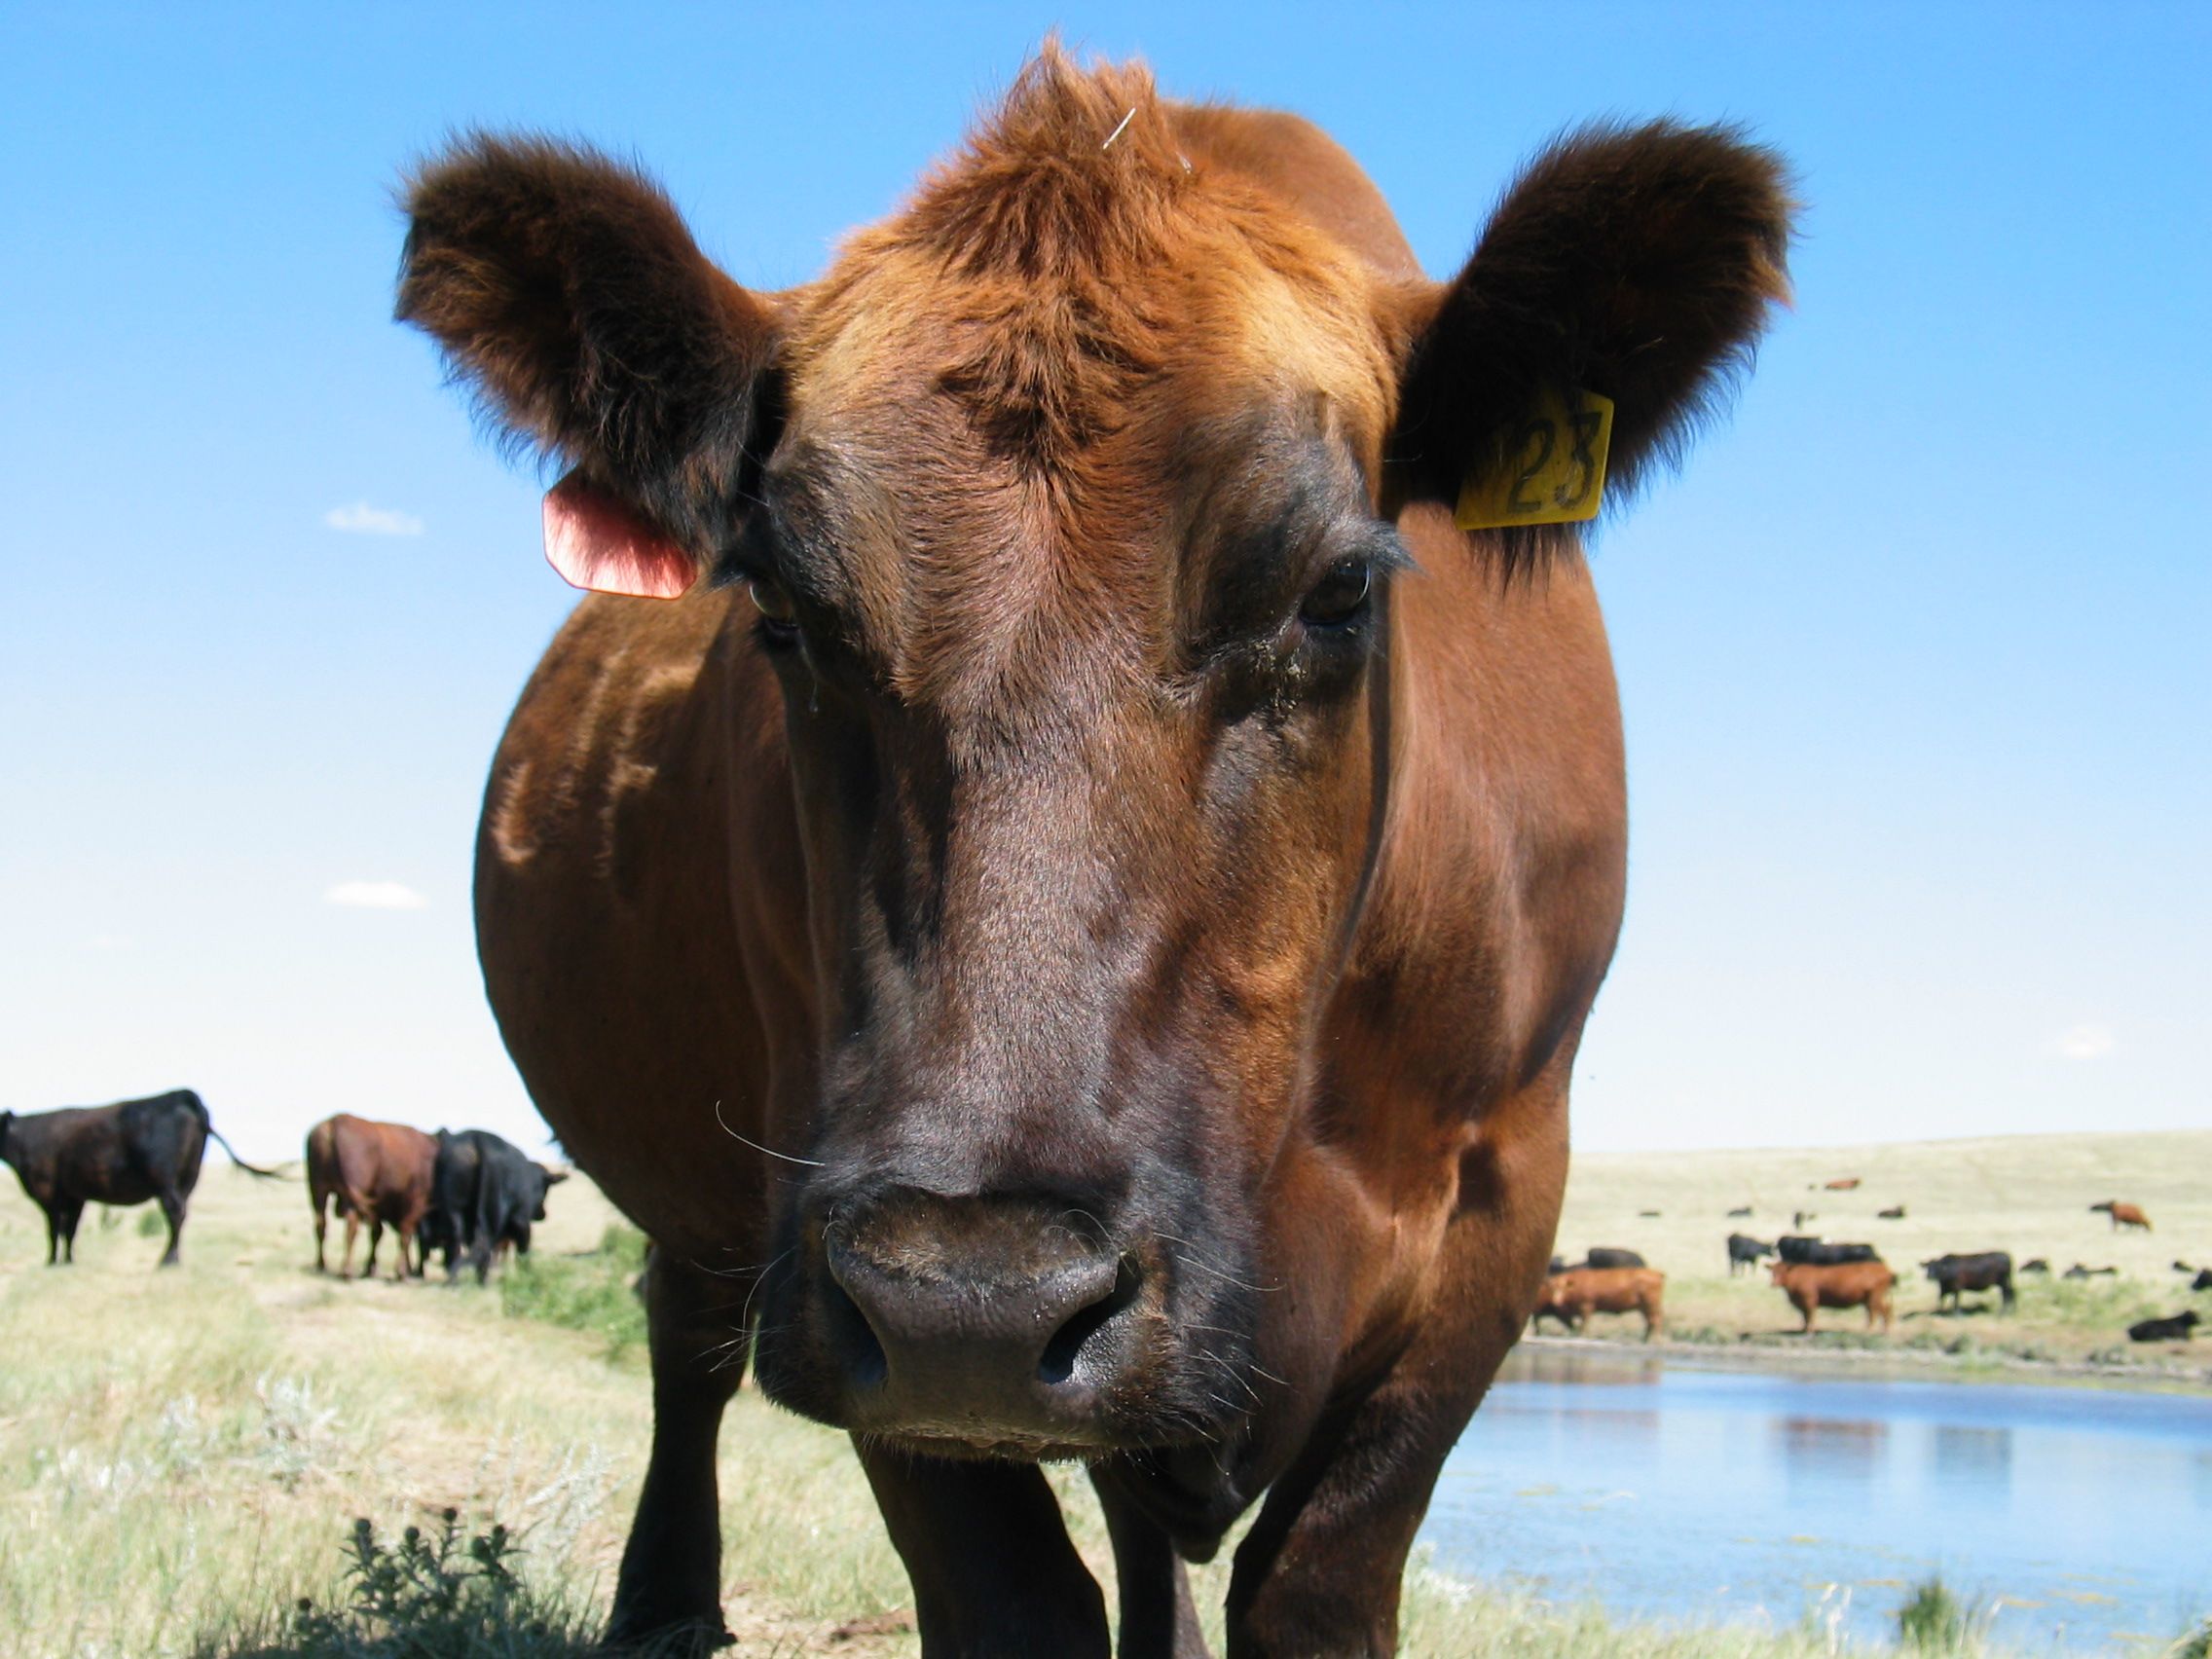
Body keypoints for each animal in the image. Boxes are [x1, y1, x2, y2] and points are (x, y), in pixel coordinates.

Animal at [0, 1089, 277, 1266]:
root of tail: (182, 1095)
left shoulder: (47, 1191)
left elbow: (53, 1229)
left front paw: (50, 1262)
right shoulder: (75, 1195)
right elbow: (70, 1230)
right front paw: (68, 1261)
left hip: (165, 1180)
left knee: (175, 1213)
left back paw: (168, 1260)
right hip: (189, 1177)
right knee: (183, 1212)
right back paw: (174, 1257)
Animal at [304, 1113, 439, 1279]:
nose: (418, 1270)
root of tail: (336, 1121)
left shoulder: (378, 1206)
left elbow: (377, 1234)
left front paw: (371, 1268)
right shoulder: (414, 1202)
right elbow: (404, 1233)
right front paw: (401, 1271)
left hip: (318, 1190)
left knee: (321, 1224)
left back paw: (321, 1265)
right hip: (352, 1194)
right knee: (351, 1226)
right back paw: (347, 1270)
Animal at [419, 1129, 566, 1285]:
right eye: (546, 1188)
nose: (542, 1214)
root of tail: (477, 1138)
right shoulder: (521, 1219)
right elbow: (523, 1249)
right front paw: (527, 1276)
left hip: (453, 1209)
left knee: (457, 1240)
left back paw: (454, 1280)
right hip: (494, 1212)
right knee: (484, 1242)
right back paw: (483, 1281)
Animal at [1531, 1267, 1665, 1341]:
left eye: (1563, 1288)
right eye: (1552, 1288)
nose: (1556, 1301)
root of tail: (1657, 1273)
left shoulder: (1586, 1306)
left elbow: (1584, 1324)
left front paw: (1583, 1335)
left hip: (1651, 1304)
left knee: (1656, 1320)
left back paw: (1656, 1340)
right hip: (1644, 1307)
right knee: (1650, 1322)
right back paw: (1645, 1339)